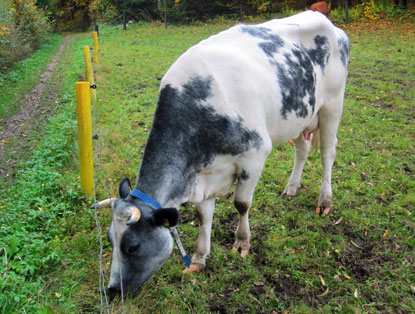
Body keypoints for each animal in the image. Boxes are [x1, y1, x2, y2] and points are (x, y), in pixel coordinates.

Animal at [95, 11, 352, 298]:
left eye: (133, 246)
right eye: (110, 239)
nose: (112, 291)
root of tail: (325, 20)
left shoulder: (255, 155)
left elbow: (242, 204)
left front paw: (242, 243)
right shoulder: (205, 172)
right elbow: (203, 215)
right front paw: (198, 259)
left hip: (333, 104)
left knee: (328, 153)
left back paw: (325, 200)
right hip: (299, 115)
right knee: (302, 149)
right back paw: (292, 187)